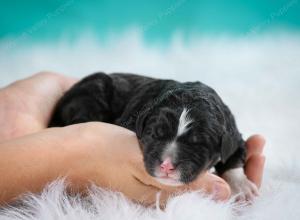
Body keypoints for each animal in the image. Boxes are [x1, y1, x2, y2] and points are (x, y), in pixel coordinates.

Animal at [48, 73, 258, 200]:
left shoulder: (233, 134)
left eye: (198, 144)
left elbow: (234, 157)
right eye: (153, 135)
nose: (166, 165)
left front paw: (242, 187)